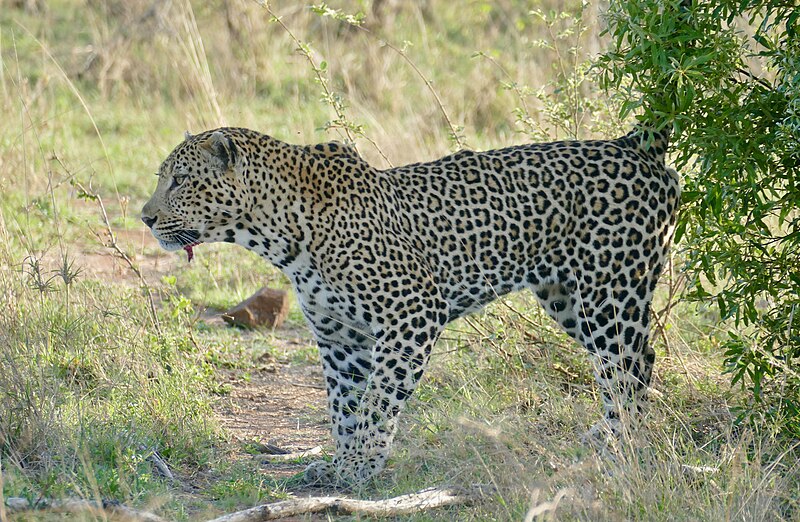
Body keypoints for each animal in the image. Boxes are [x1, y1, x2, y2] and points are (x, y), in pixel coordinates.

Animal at [142, 125, 680, 484]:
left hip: (609, 293)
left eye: (180, 179)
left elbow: (379, 400)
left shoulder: (411, 312)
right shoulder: (340, 338)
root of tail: (632, 144)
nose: (145, 218)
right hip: (568, 299)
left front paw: (360, 467)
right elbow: (344, 407)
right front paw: (341, 465)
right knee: (640, 359)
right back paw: (606, 438)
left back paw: (619, 452)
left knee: (627, 368)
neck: (277, 233)